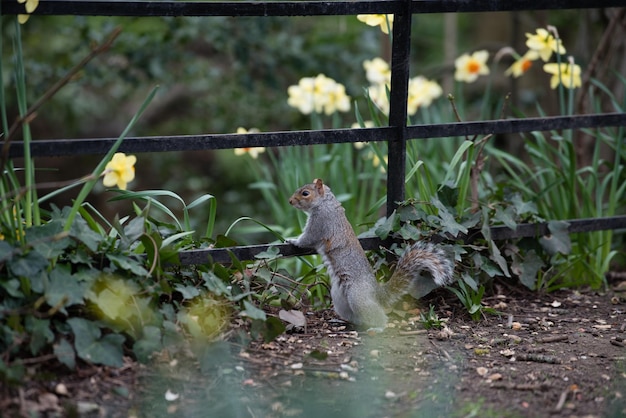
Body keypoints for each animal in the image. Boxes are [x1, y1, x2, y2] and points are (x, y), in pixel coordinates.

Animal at [286, 178, 454, 328]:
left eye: (305, 193)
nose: (290, 201)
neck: (324, 203)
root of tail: (376, 293)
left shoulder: (320, 223)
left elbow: (307, 239)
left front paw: (292, 240)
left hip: (357, 297)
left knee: (377, 317)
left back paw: (378, 327)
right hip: (339, 299)